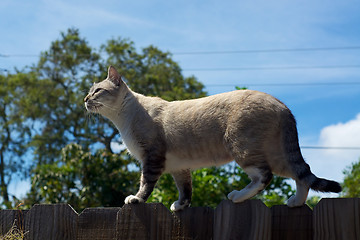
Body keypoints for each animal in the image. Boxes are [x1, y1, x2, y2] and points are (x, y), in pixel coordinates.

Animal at [84, 65, 340, 210]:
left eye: (97, 91)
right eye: (88, 92)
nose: (85, 99)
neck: (124, 118)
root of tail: (282, 104)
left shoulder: (152, 157)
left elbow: (145, 184)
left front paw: (135, 200)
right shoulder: (178, 166)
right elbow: (185, 189)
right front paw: (180, 206)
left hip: (241, 147)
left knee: (264, 176)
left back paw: (237, 196)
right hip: (277, 154)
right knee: (301, 174)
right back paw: (295, 202)